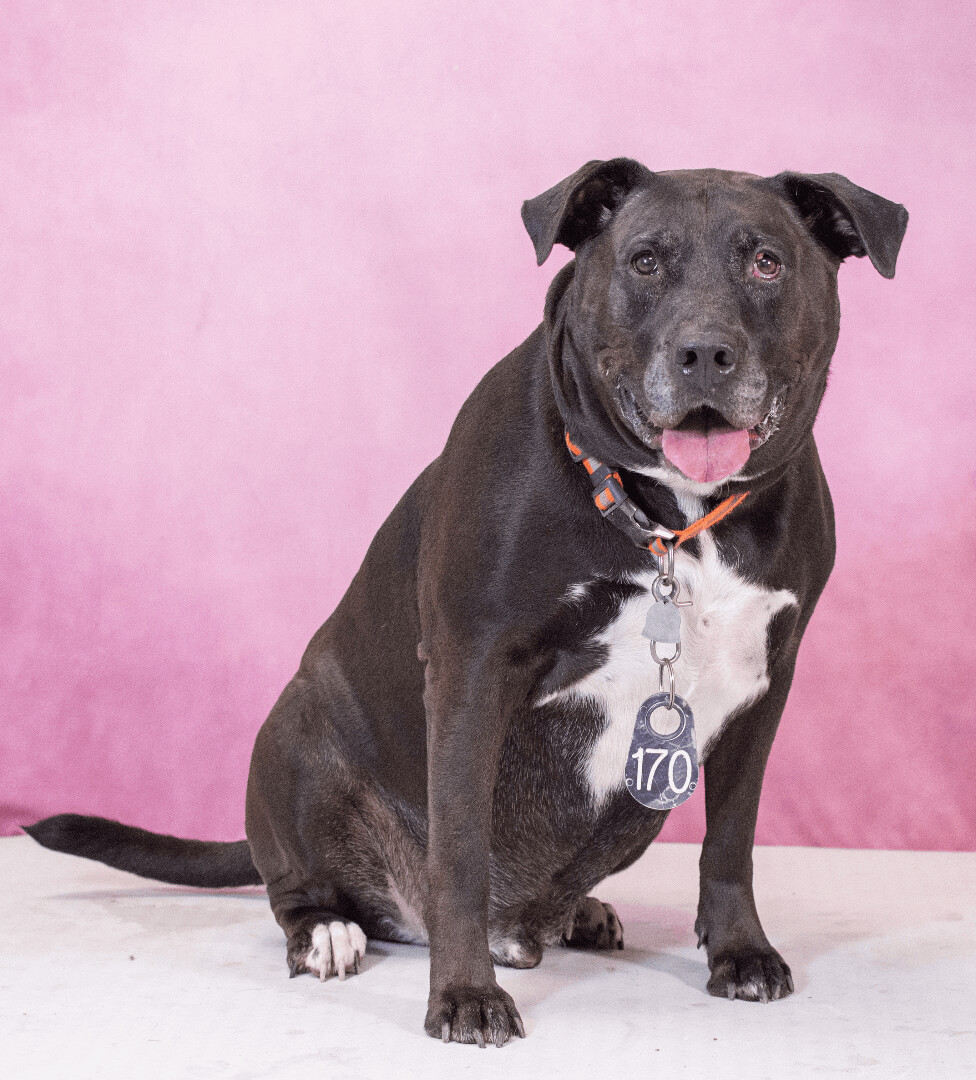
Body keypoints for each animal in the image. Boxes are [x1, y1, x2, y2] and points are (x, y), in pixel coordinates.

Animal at [24, 157, 906, 1045]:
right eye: (646, 261)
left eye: (767, 263)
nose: (705, 351)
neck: (672, 525)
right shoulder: (473, 672)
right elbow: (459, 854)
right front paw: (463, 995)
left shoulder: (764, 687)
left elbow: (730, 841)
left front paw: (740, 953)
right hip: (295, 733)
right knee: (301, 887)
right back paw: (329, 930)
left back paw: (574, 913)